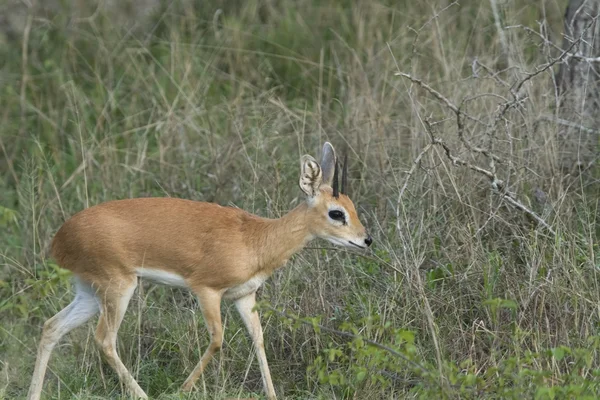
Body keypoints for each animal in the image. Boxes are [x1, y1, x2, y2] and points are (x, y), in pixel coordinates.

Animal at [30, 143, 372, 400]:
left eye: (353, 207)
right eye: (336, 213)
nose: (366, 240)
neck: (255, 239)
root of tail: (59, 238)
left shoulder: (244, 296)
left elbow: (258, 339)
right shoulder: (206, 290)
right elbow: (218, 339)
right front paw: (183, 389)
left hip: (89, 293)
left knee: (51, 327)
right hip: (118, 287)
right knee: (104, 340)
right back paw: (144, 394)